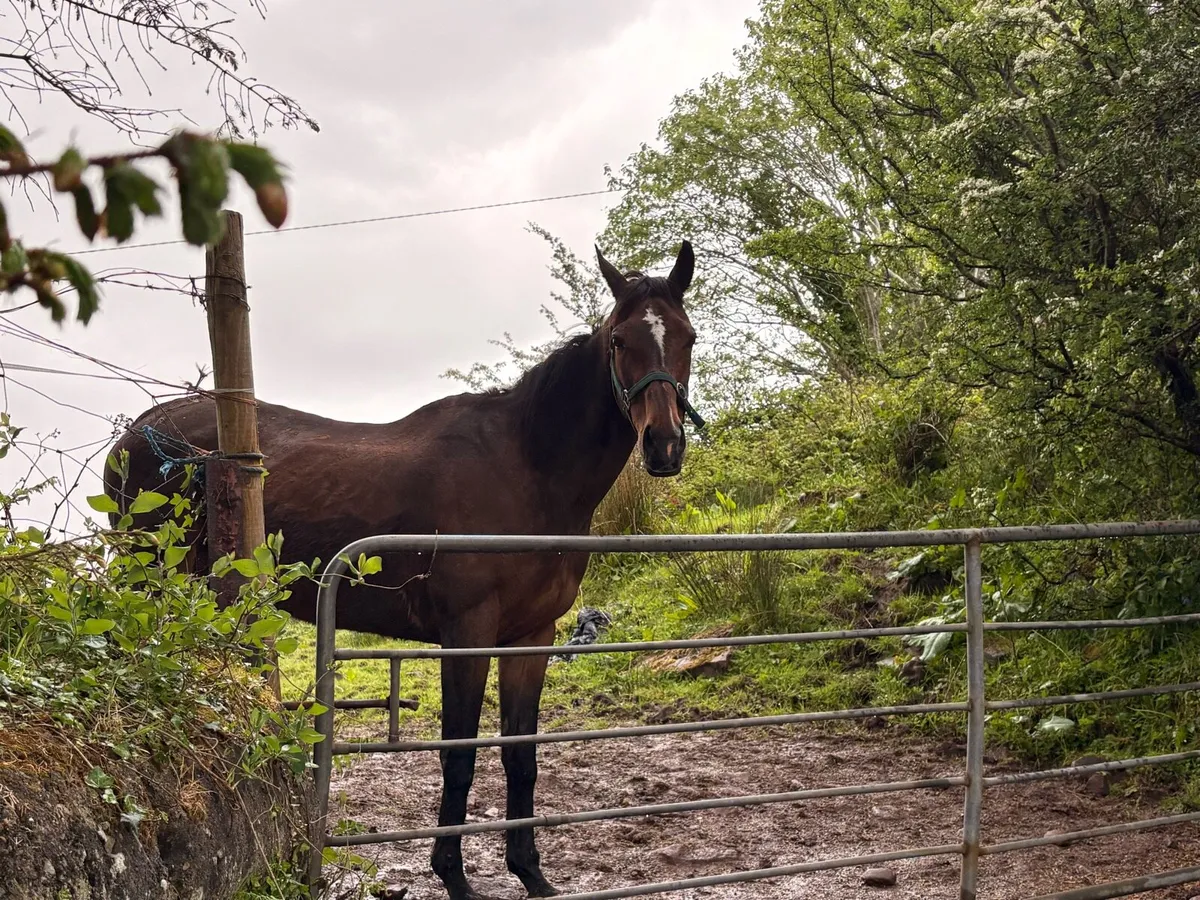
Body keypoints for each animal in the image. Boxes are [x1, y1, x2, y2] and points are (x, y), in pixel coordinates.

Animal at [103, 240, 700, 900]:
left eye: (688, 337)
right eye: (620, 340)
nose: (664, 445)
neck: (526, 470)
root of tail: (138, 434)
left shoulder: (531, 636)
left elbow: (521, 756)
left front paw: (531, 874)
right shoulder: (467, 636)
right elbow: (459, 754)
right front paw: (455, 878)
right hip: (151, 584)